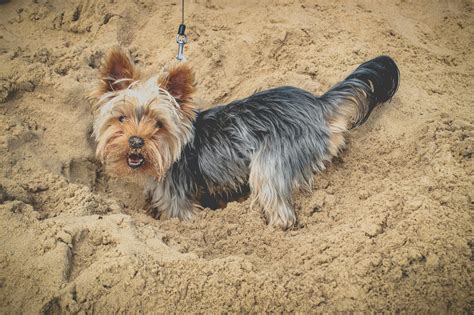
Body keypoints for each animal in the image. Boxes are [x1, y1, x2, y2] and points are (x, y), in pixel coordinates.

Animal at [90, 47, 400, 230]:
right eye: (121, 118)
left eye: (159, 124)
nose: (136, 141)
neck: (170, 153)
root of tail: (317, 103)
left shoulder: (177, 201)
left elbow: (184, 218)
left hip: (271, 162)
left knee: (280, 207)